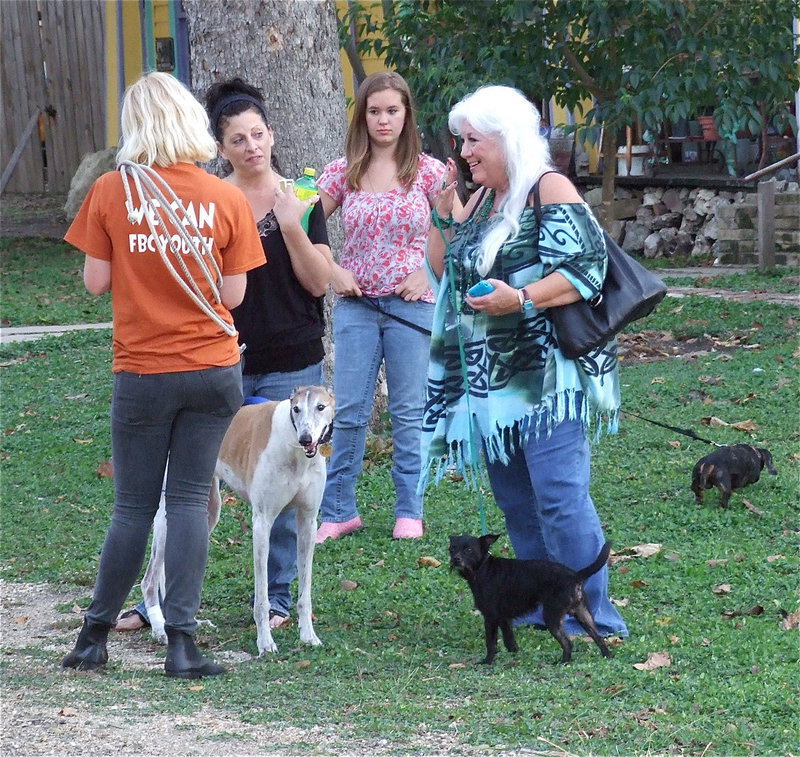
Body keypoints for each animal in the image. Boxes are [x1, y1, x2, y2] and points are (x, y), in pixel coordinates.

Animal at [141, 386, 334, 652]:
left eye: (320, 407)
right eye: (296, 409)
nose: (306, 438)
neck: (293, 446)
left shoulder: (307, 521)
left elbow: (305, 592)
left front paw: (308, 636)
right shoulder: (262, 522)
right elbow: (262, 598)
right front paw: (265, 643)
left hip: (207, 510)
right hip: (170, 516)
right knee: (149, 580)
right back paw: (160, 629)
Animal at [450, 536, 612, 664]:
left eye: (468, 549)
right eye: (452, 548)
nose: (455, 559)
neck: (483, 568)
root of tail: (575, 576)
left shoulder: (491, 617)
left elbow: (491, 643)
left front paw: (487, 661)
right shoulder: (504, 618)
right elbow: (509, 640)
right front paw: (514, 654)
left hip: (552, 617)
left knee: (568, 643)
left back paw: (563, 662)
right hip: (583, 614)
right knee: (599, 637)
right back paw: (607, 656)